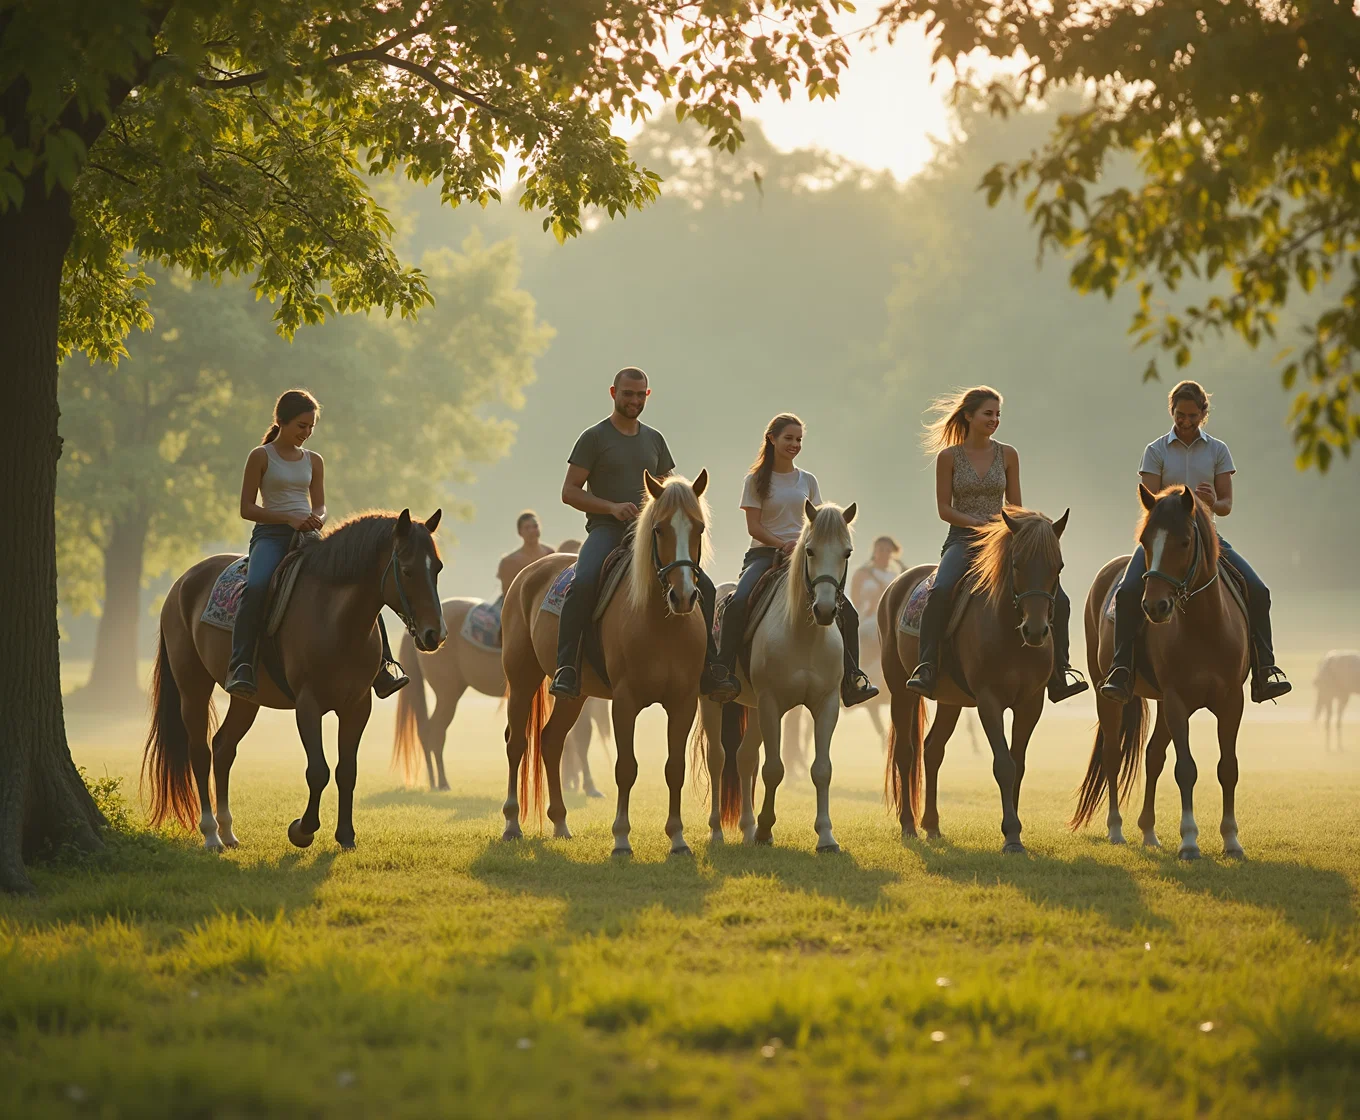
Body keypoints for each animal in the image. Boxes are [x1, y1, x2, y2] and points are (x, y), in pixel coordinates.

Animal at [146, 508, 448, 848]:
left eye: (437, 568)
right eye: (407, 571)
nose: (435, 634)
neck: (334, 617)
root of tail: (182, 583)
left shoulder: (358, 706)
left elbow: (347, 771)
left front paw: (346, 836)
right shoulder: (308, 705)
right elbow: (318, 771)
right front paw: (302, 830)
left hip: (245, 699)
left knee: (223, 748)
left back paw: (227, 831)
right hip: (192, 687)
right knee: (200, 752)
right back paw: (211, 834)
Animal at [500, 467, 712, 853]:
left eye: (699, 527)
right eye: (659, 528)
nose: (684, 596)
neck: (660, 624)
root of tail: (527, 574)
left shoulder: (683, 702)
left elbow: (674, 768)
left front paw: (677, 839)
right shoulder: (625, 702)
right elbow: (626, 768)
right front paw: (621, 839)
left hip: (574, 693)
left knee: (551, 741)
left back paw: (560, 823)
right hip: (521, 679)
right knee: (517, 743)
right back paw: (511, 824)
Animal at [696, 497, 854, 848]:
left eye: (847, 553)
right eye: (809, 551)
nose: (825, 610)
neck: (803, 635)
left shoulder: (826, 705)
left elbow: (821, 769)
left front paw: (826, 837)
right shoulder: (772, 704)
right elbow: (773, 769)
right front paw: (767, 829)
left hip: (753, 707)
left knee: (743, 758)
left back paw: (746, 828)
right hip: (713, 702)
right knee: (718, 759)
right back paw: (716, 832)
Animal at [881, 511, 1071, 853]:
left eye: (1058, 566)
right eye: (1017, 564)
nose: (1035, 631)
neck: (1009, 631)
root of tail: (896, 585)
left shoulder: (1030, 704)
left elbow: (1018, 765)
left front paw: (1015, 830)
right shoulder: (988, 702)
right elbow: (1004, 765)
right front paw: (1011, 836)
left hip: (950, 701)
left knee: (932, 750)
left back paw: (932, 826)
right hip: (899, 690)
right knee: (906, 752)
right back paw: (909, 827)